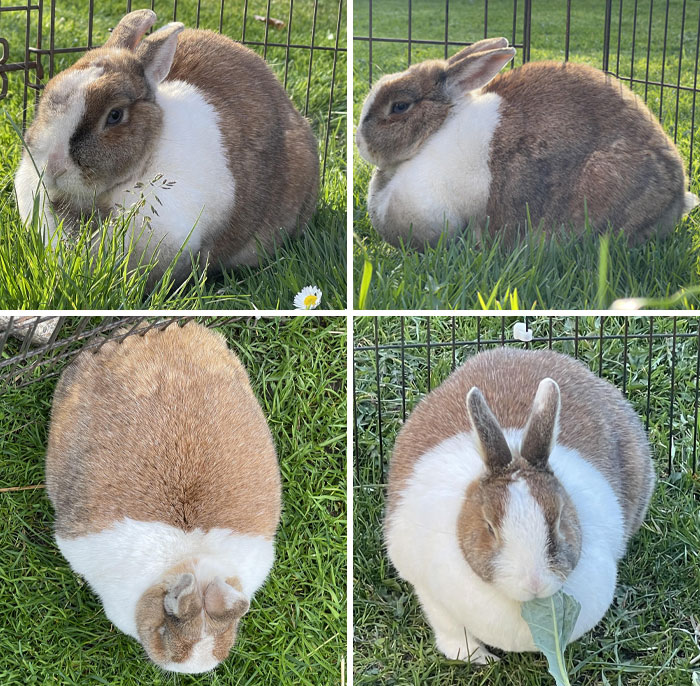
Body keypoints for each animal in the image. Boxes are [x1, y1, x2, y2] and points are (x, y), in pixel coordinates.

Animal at [385, 347, 655, 664]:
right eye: (489, 527)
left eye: (559, 518)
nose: (533, 583)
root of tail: (527, 352)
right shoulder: (426, 587)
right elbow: (449, 627)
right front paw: (477, 657)